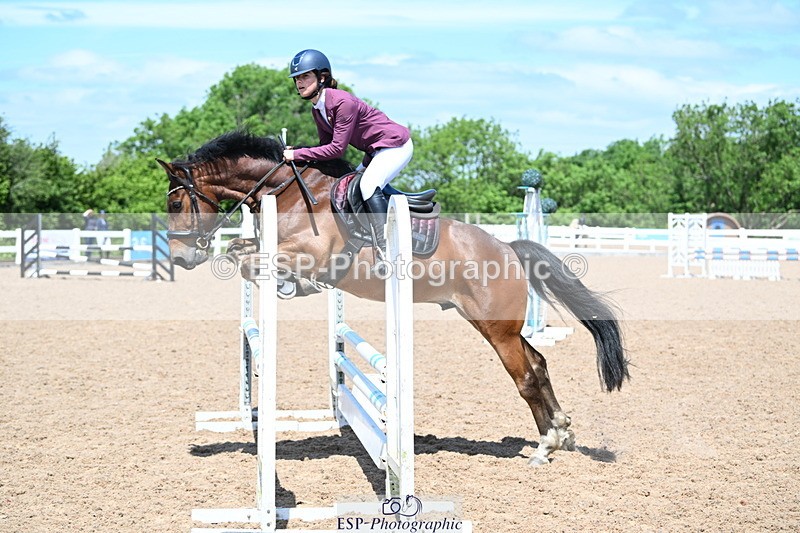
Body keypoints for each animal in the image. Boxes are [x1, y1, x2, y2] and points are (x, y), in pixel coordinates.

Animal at [157, 130, 629, 466]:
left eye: (177, 202)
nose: (181, 257)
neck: (288, 190)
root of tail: (509, 249)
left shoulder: (311, 254)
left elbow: (249, 259)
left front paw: (288, 284)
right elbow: (240, 253)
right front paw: (284, 283)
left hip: (497, 329)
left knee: (526, 376)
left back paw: (545, 447)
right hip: (494, 325)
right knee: (539, 364)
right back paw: (561, 432)